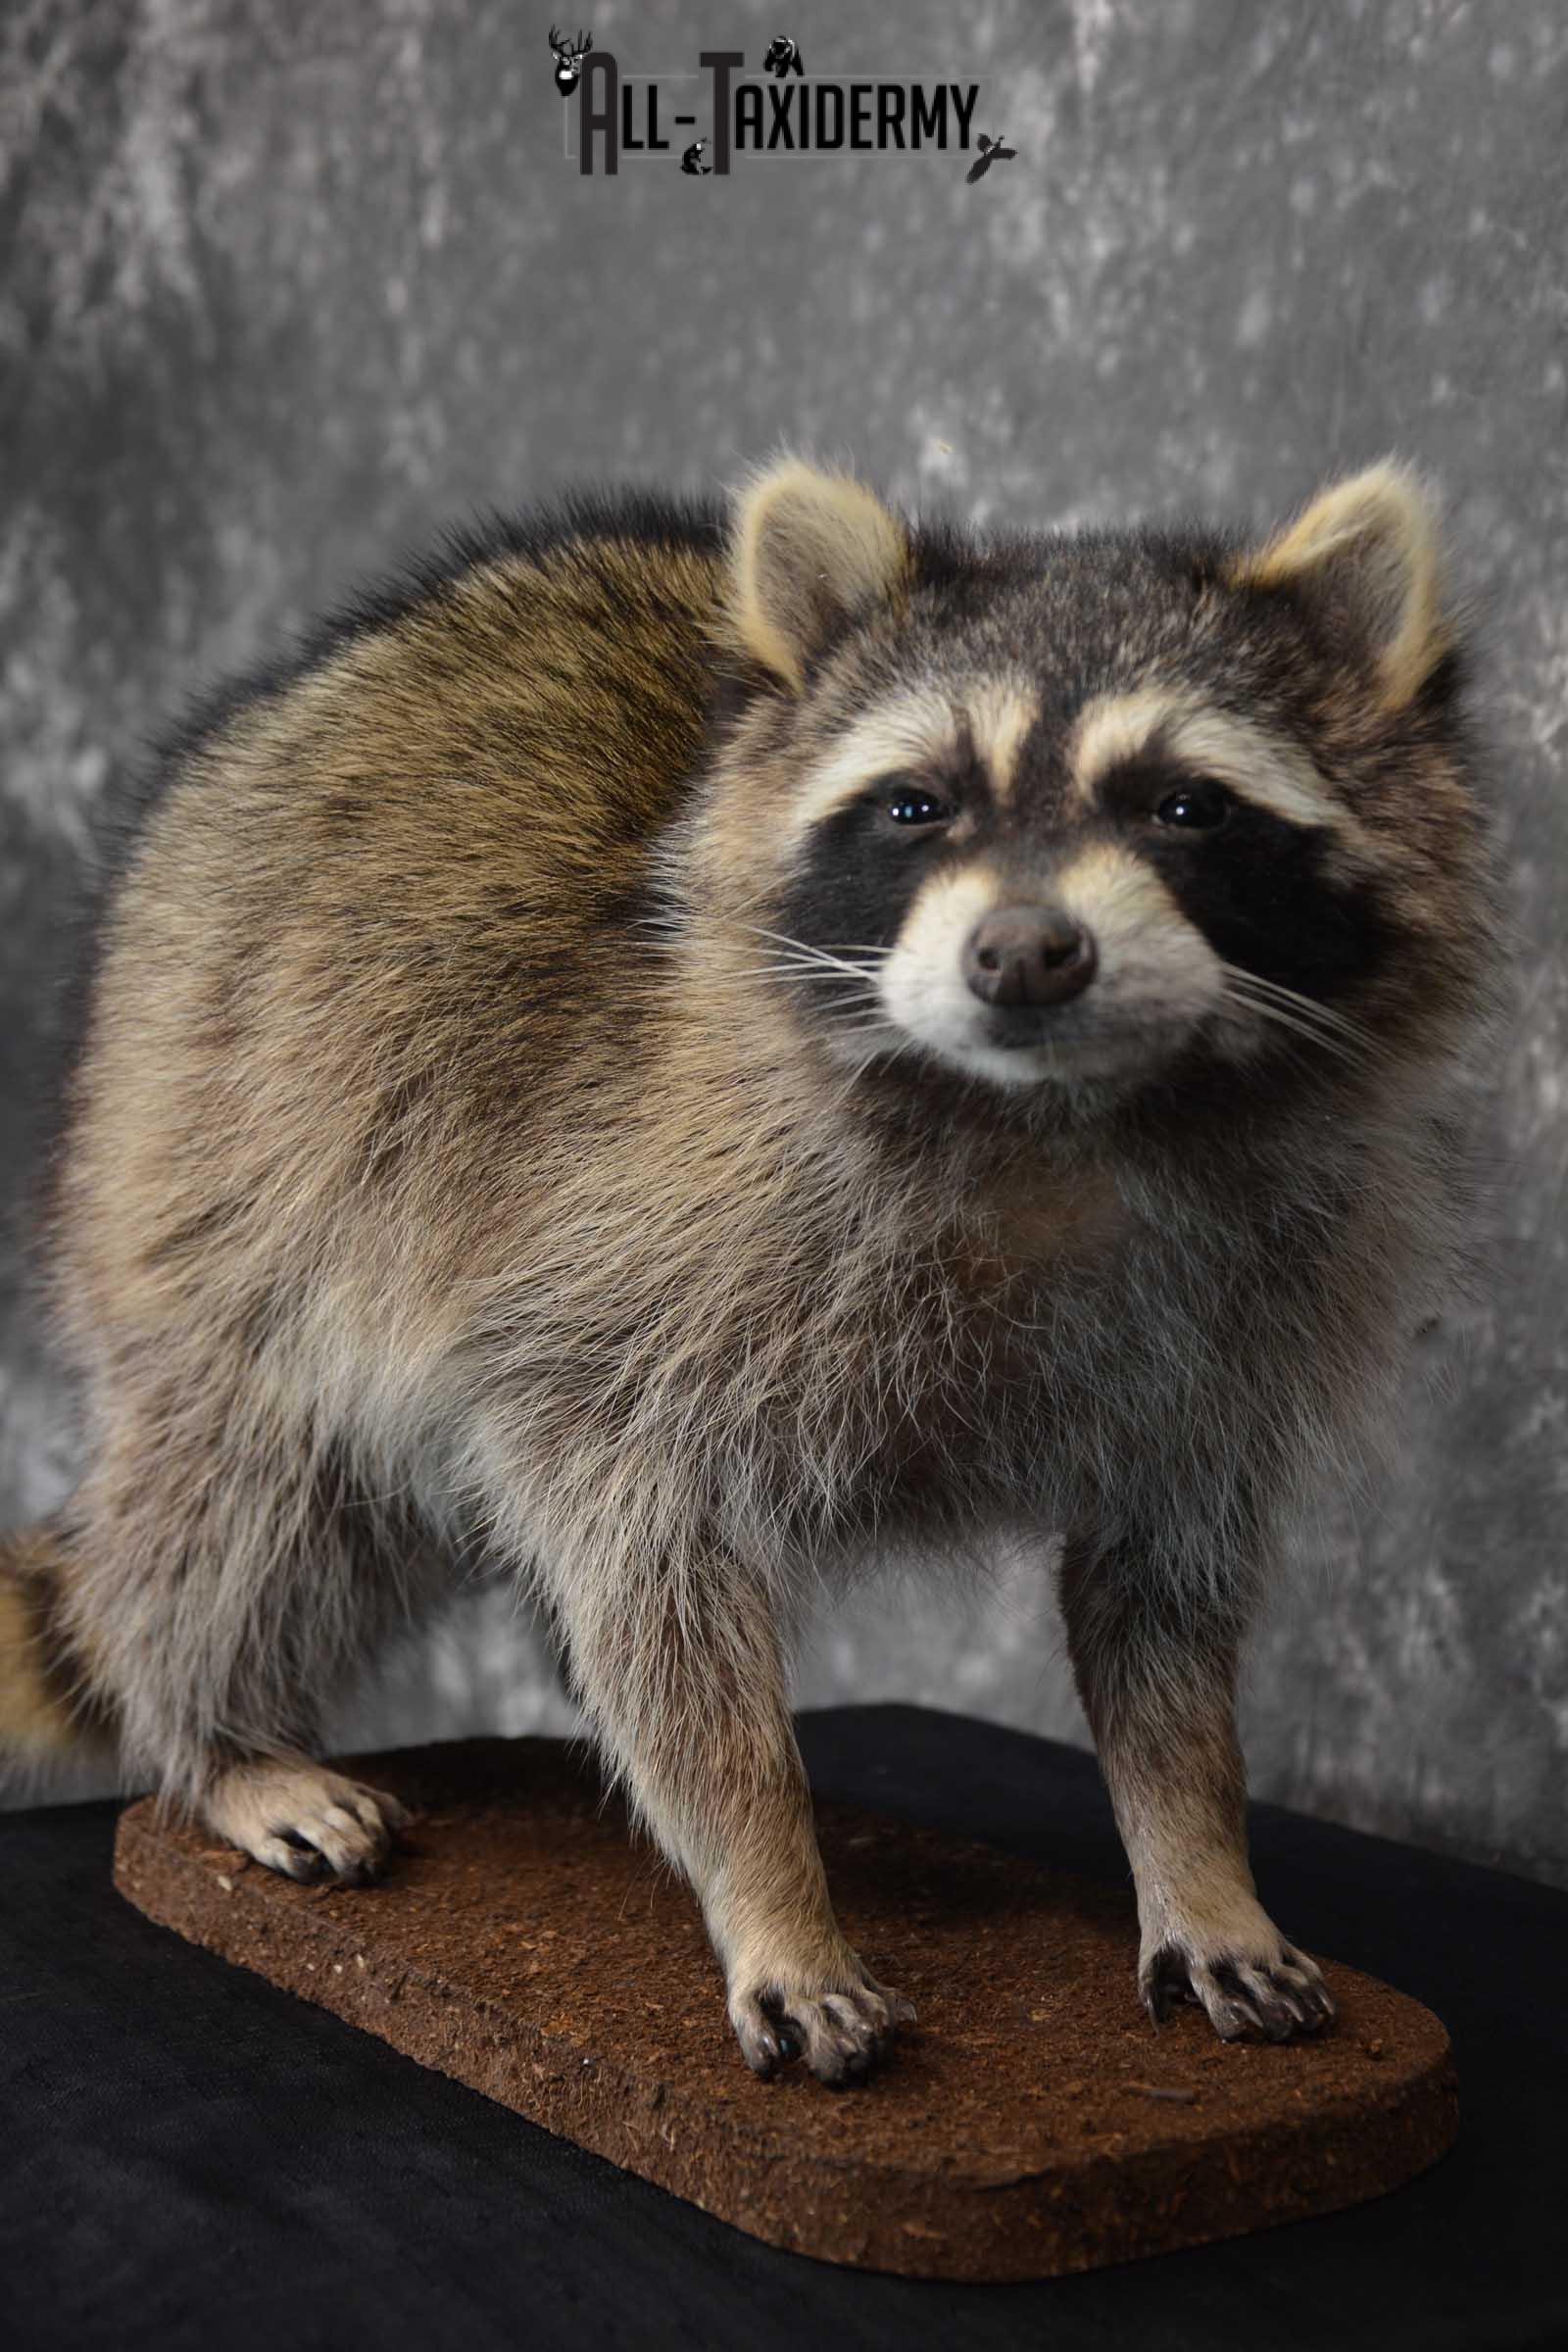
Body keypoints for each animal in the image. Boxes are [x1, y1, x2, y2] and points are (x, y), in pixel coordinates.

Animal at [1, 458, 1494, 2085]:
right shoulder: (630, 1256)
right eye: (916, 804)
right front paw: (769, 1881)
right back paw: (214, 1737)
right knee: (245, 1496)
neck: (1055, 1119)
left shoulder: (1237, 1318)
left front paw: (1200, 1855)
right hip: (217, 1153)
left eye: (1182, 805)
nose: (1024, 953)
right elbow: (653, 1582)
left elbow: (1165, 1612)